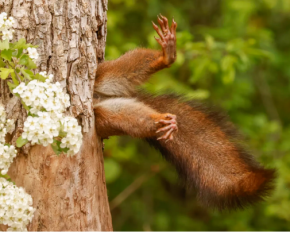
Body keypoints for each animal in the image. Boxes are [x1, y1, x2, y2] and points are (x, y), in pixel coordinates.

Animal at [93, 14, 276, 210]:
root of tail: (98, 98)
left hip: (102, 75)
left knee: (124, 70)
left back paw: (166, 57)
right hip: (105, 117)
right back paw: (162, 121)